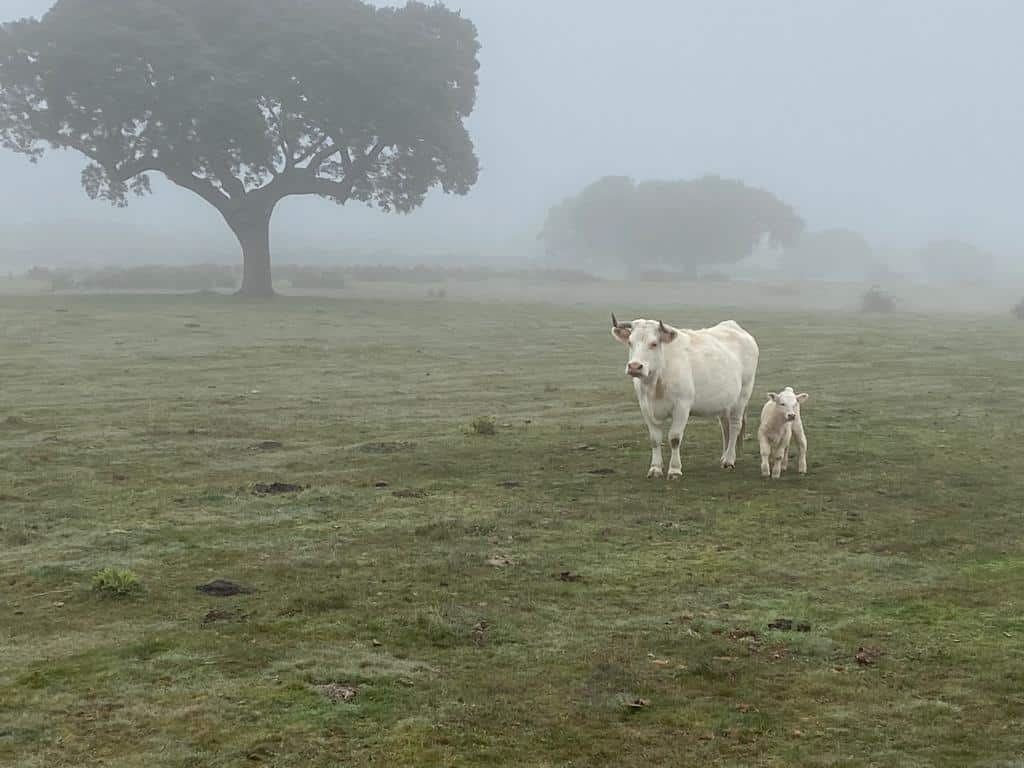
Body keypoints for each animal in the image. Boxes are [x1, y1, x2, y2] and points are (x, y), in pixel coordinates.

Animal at [606, 315, 761, 479]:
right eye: (630, 342)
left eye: (654, 344)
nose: (635, 367)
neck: (656, 383)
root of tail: (735, 327)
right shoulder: (646, 407)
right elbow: (655, 439)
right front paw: (655, 468)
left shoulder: (682, 406)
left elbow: (674, 438)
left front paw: (674, 469)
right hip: (725, 402)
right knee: (725, 427)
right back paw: (724, 457)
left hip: (742, 395)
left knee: (735, 425)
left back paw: (729, 460)